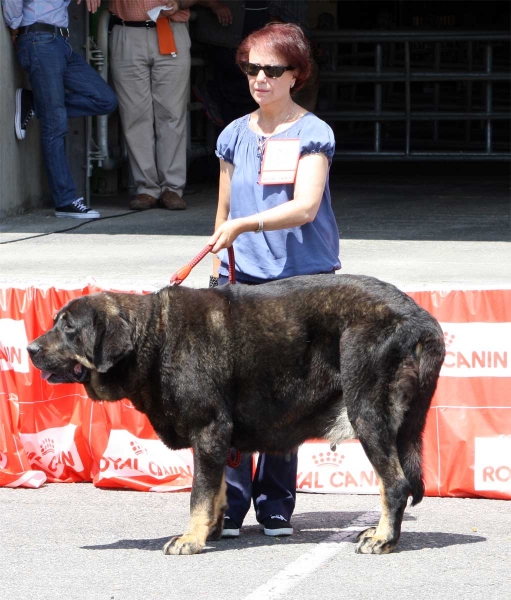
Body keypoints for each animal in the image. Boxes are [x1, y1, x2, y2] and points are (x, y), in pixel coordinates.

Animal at [27, 274, 444, 556]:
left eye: (68, 328)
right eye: (54, 323)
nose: (30, 348)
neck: (156, 339)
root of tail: (421, 319)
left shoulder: (209, 428)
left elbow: (199, 492)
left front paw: (191, 538)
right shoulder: (217, 439)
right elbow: (217, 490)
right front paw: (211, 530)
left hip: (368, 412)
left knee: (395, 484)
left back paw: (383, 538)